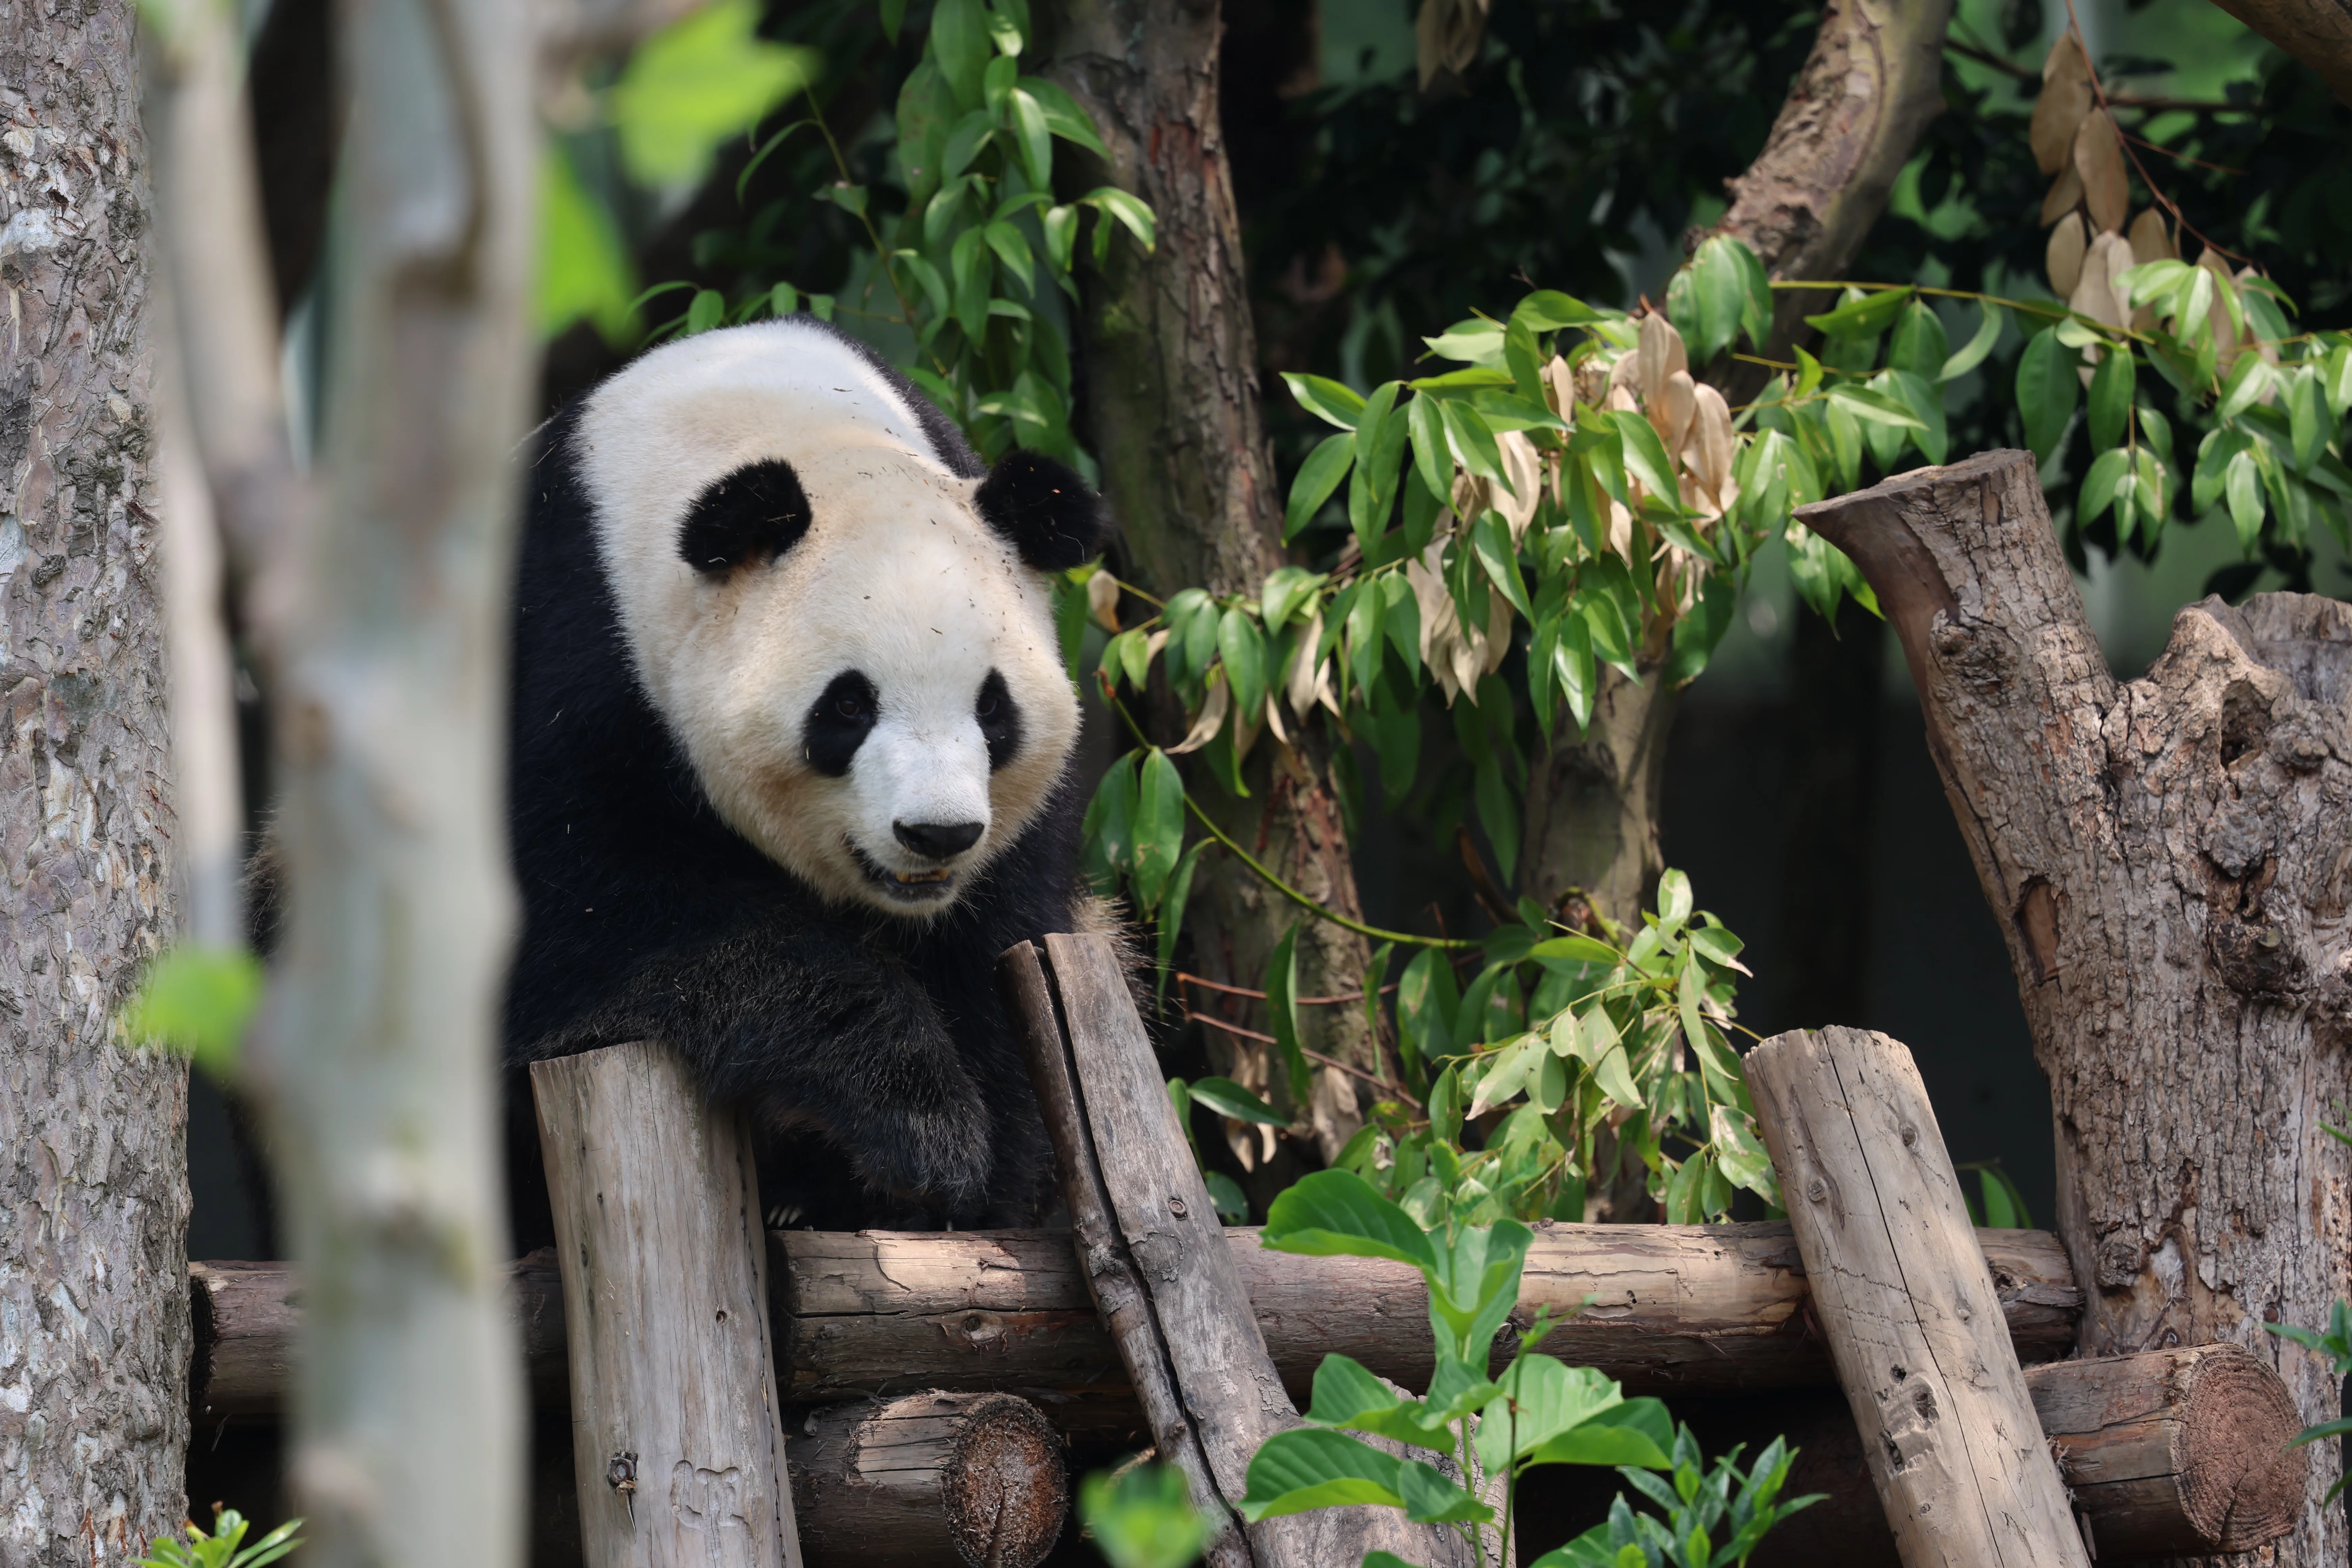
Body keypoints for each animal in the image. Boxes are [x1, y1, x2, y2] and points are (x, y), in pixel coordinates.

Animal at [504, 315, 1105, 1240]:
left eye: (993, 706)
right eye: (848, 705)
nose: (937, 833)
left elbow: (1002, 943)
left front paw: (968, 1183)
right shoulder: (566, 666)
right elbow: (608, 921)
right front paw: (918, 1125)